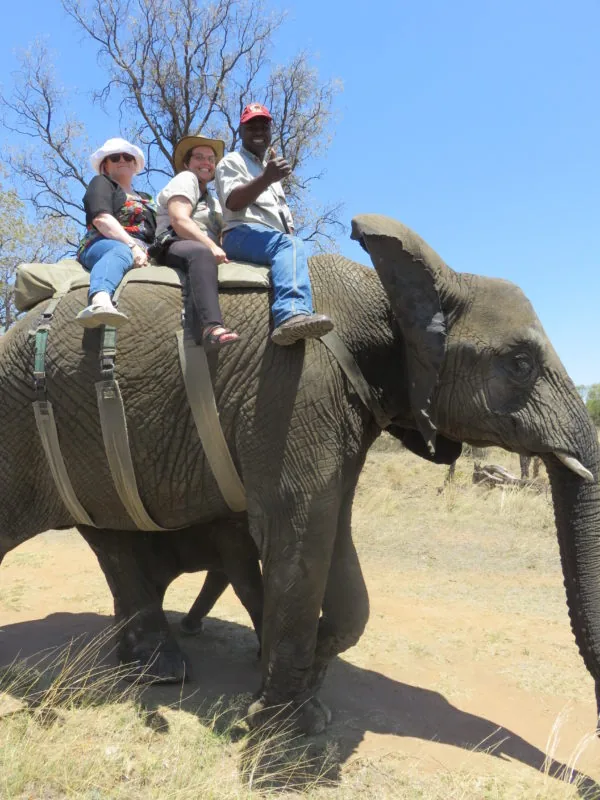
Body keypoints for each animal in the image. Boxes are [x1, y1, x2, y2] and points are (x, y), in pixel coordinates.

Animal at [0, 214, 598, 736]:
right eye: (520, 364)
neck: (386, 293)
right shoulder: (293, 384)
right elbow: (301, 527)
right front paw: (281, 725)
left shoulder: (337, 404)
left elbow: (334, 540)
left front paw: (303, 690)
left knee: (115, 541)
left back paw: (154, 667)